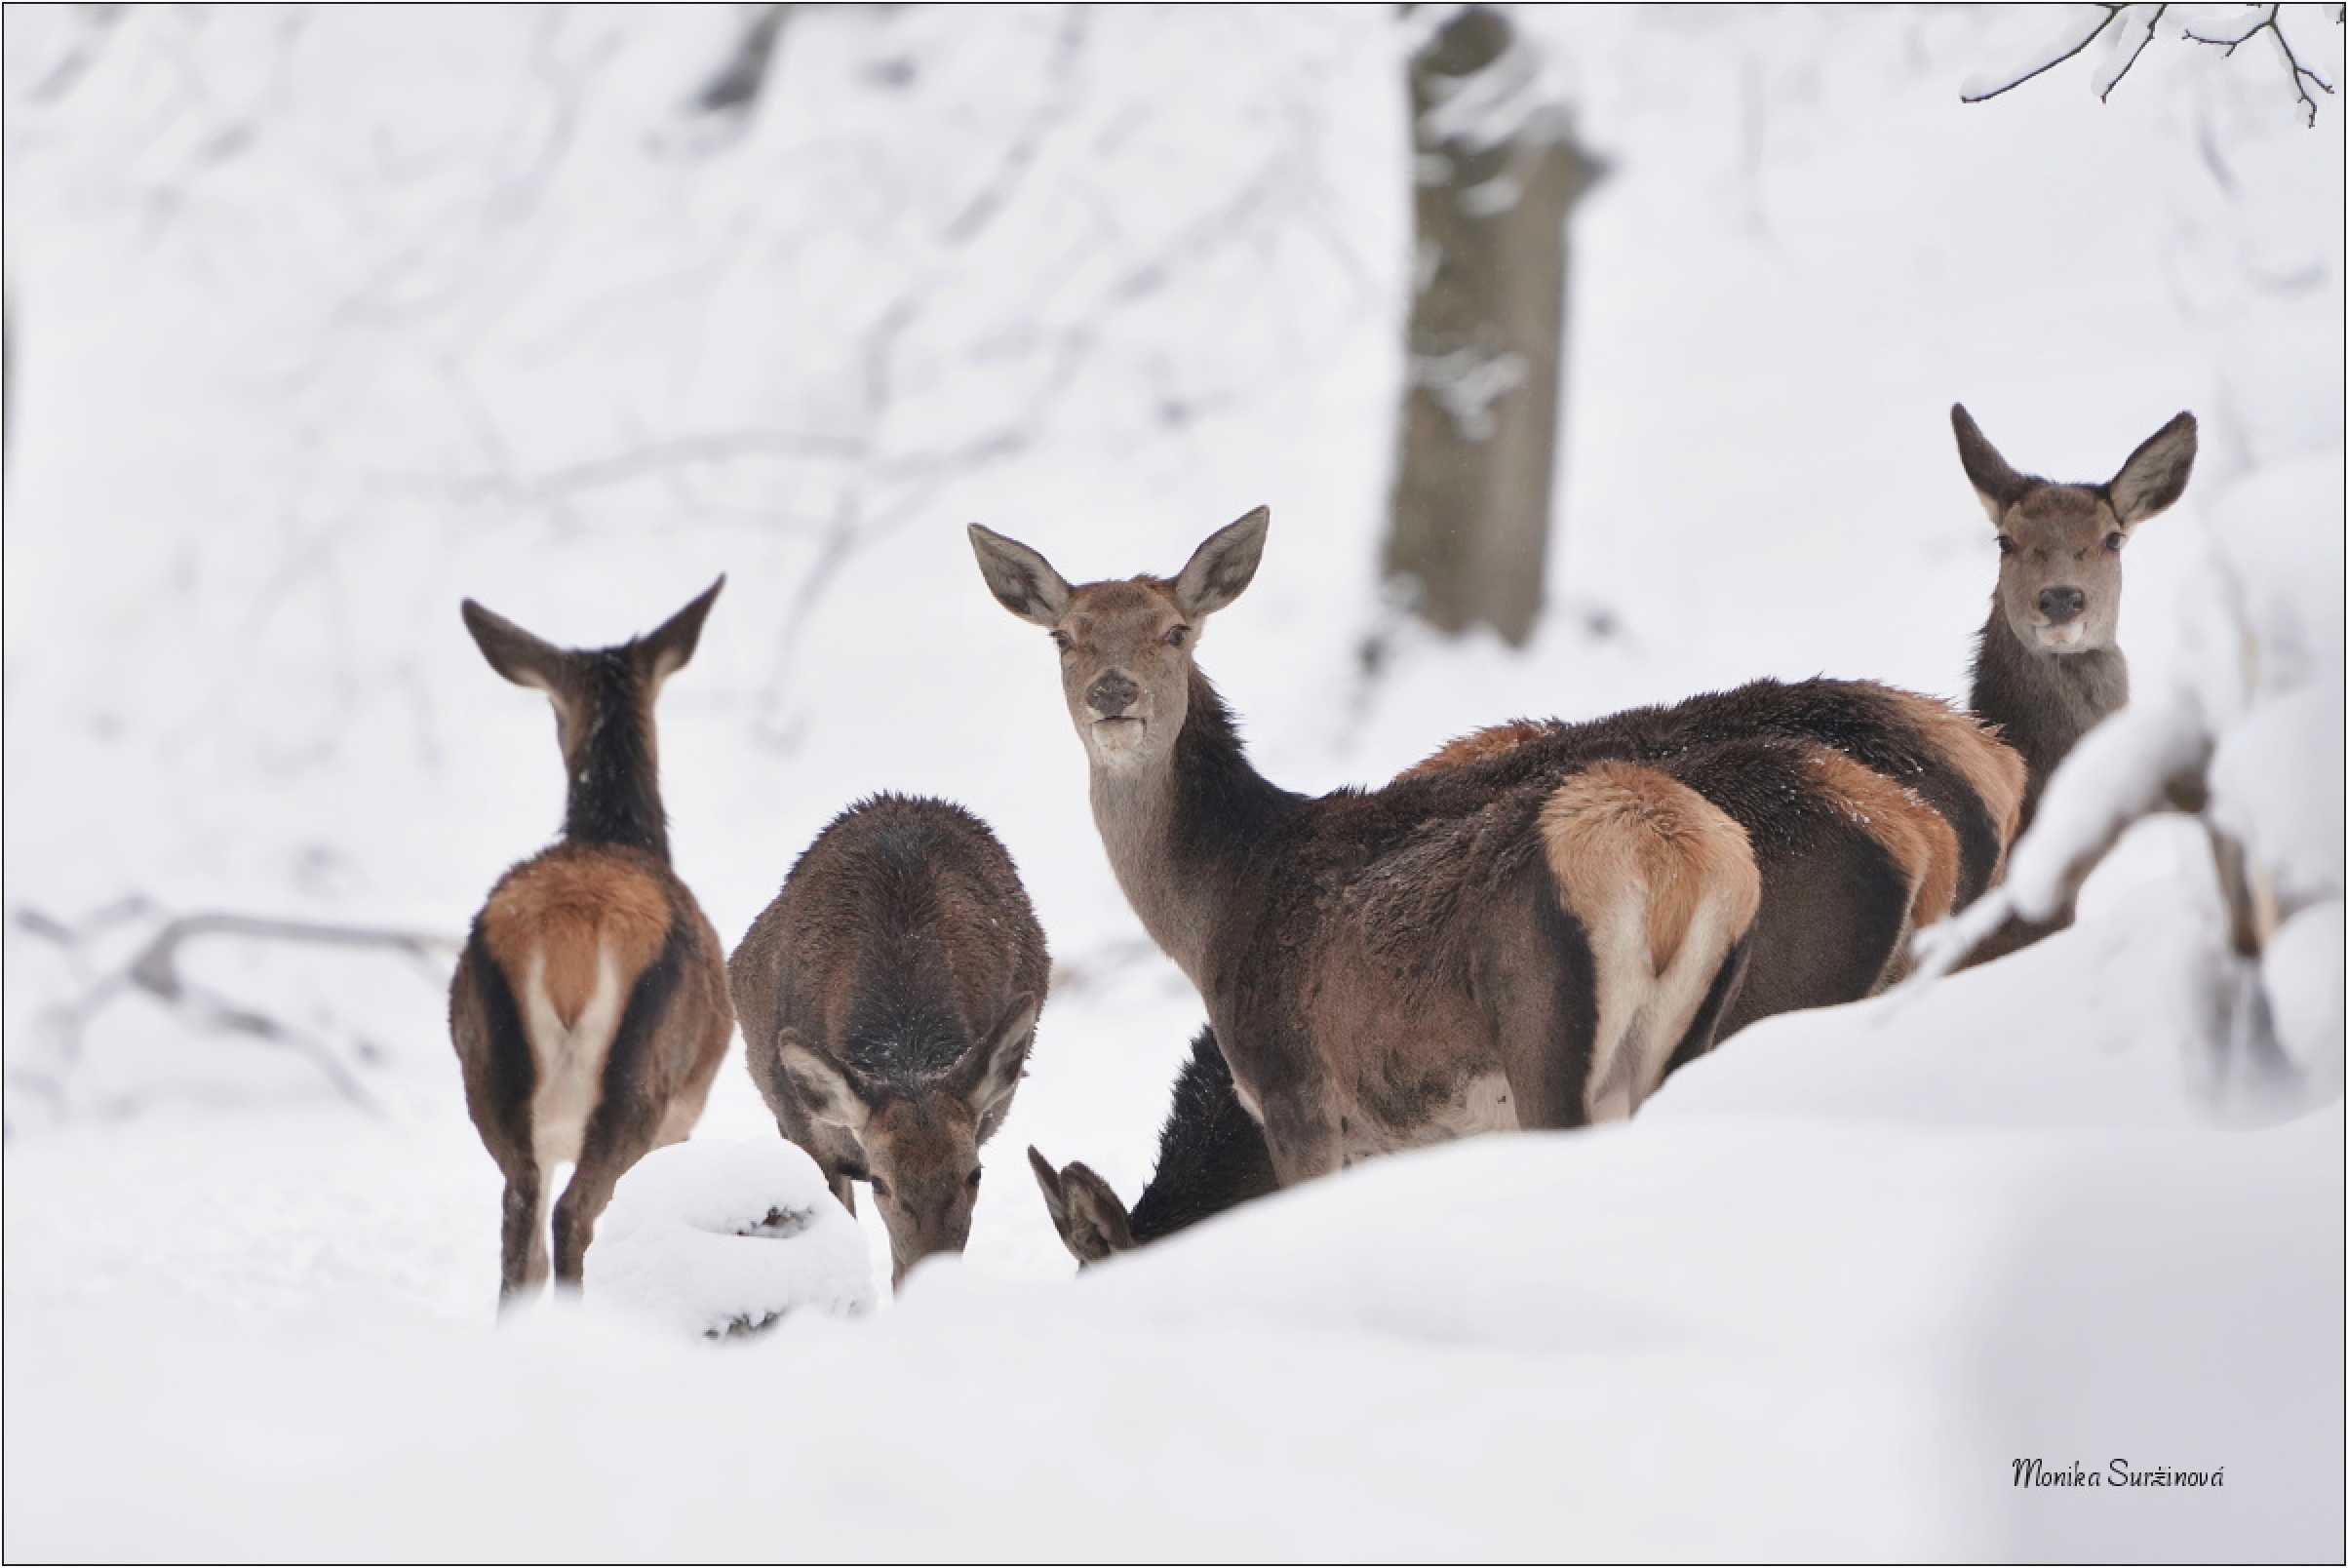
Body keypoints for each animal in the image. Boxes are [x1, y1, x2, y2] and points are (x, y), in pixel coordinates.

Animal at [444, 581, 727, 1305]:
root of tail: (570, 935)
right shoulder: (686, 1116)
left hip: (490, 1078)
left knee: (521, 1229)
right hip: (643, 1084)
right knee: (573, 1217)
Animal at [967, 509, 1765, 1192]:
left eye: (1175, 631)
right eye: (1064, 636)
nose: (1113, 692)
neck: (1216, 911)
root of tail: (1676, 863)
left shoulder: (1297, 1093)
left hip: (1546, 1035)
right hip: (1687, 1035)